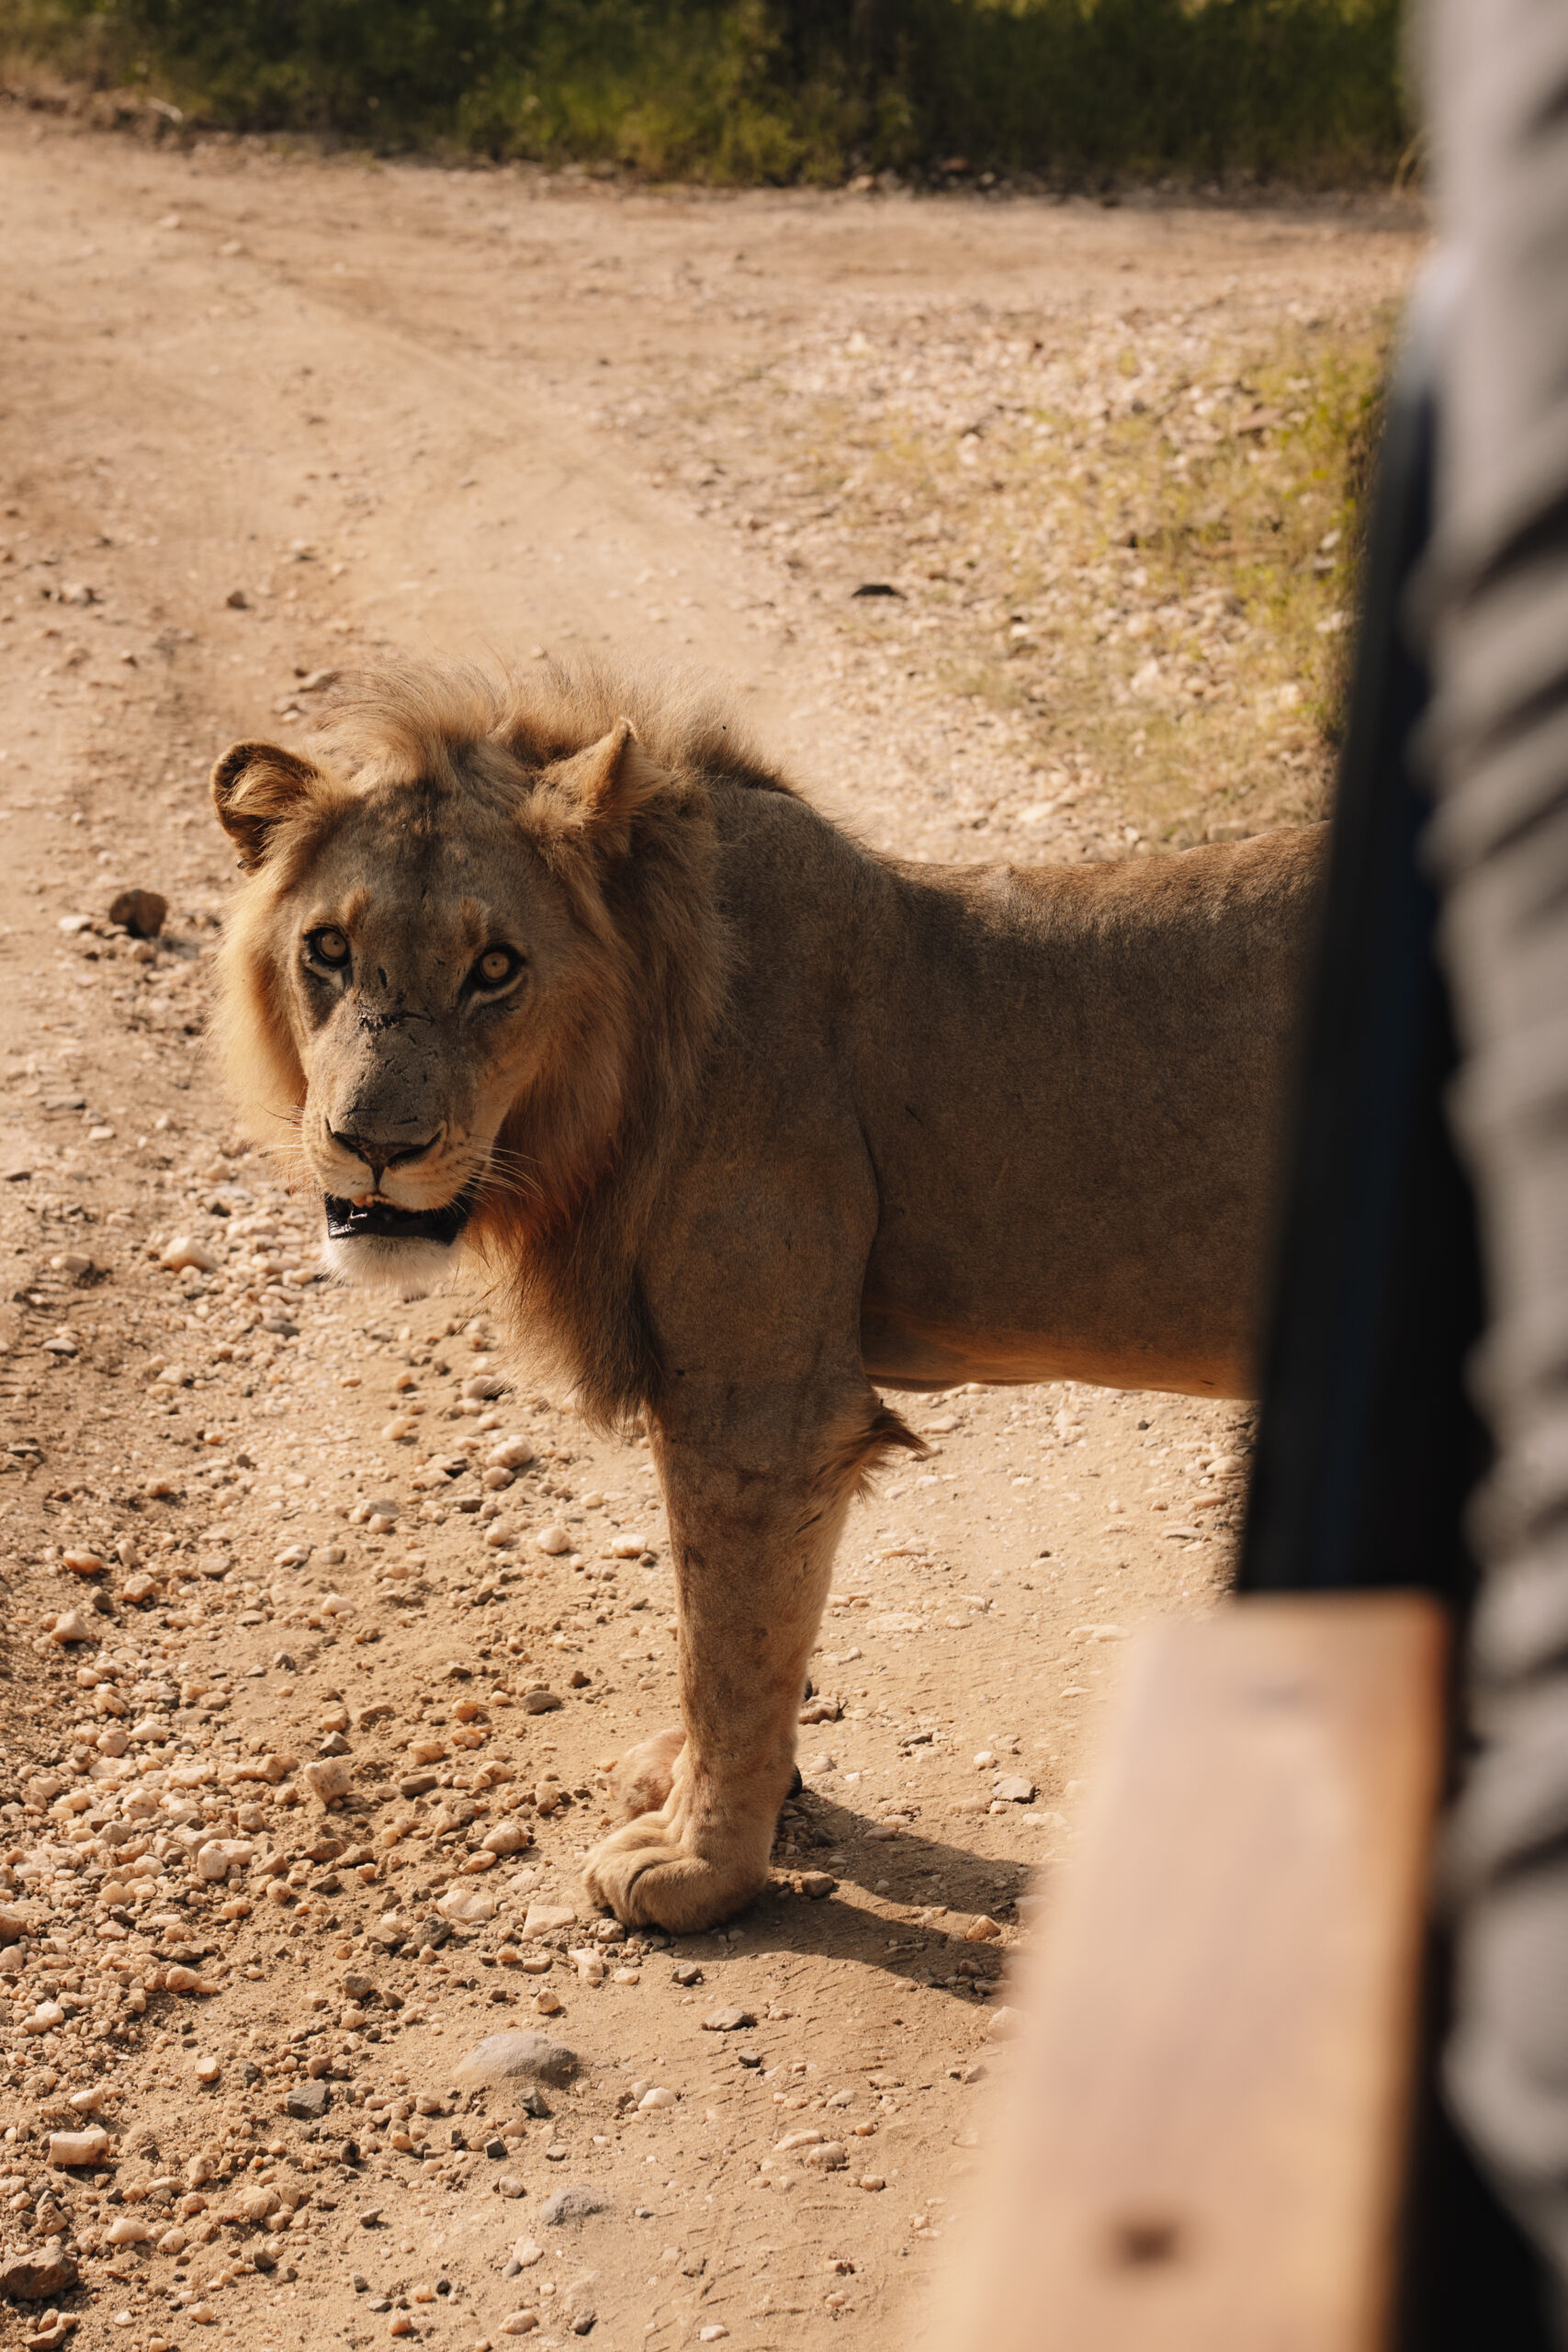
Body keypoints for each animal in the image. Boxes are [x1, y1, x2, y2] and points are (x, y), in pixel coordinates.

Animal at [208, 657, 1324, 1933]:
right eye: (328, 950)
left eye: (496, 967)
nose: (375, 1146)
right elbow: (755, 1622)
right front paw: (702, 1784)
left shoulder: (761, 1408)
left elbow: (729, 1642)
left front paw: (700, 1867)